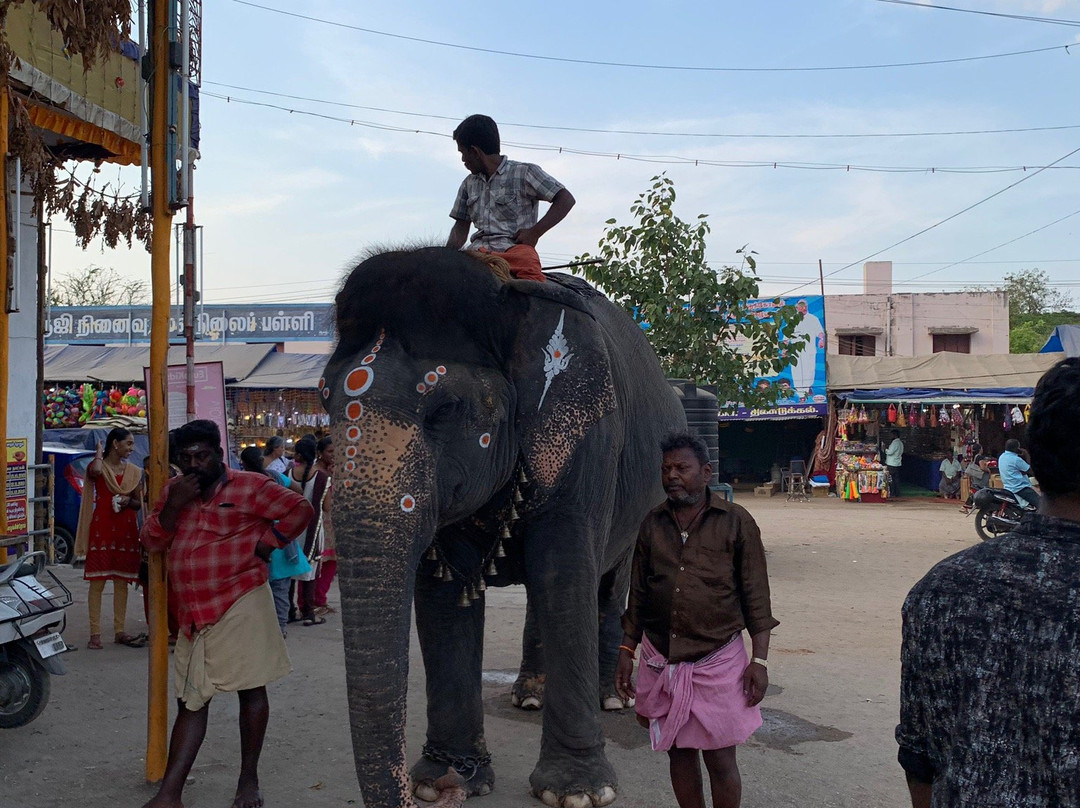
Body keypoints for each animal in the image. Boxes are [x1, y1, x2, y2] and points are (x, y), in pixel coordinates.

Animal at [319, 247, 686, 808]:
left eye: (445, 409)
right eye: (322, 400)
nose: (426, 790)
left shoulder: (586, 435)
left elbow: (564, 573)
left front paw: (578, 793)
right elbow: (444, 594)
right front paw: (444, 779)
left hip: (644, 499)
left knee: (605, 585)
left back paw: (610, 698)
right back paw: (530, 695)